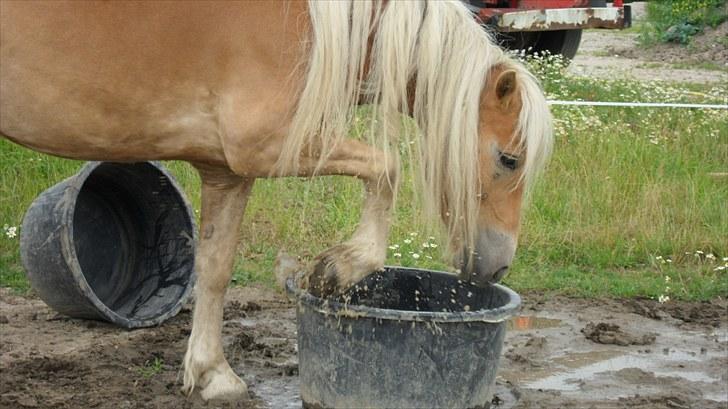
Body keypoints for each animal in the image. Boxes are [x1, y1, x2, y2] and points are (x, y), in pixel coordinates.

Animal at [0, 0, 552, 402]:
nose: (499, 265)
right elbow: (386, 169)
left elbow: (215, 268)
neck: (310, 25)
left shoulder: (228, 171)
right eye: (509, 159)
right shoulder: (268, 145)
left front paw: (212, 375)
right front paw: (338, 269)